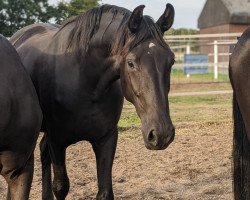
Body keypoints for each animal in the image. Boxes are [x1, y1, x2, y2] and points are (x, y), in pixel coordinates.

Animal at [10, 3, 176, 200]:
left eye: (171, 61)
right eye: (130, 62)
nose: (162, 134)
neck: (83, 80)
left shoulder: (107, 139)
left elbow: (105, 192)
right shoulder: (57, 141)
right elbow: (61, 186)